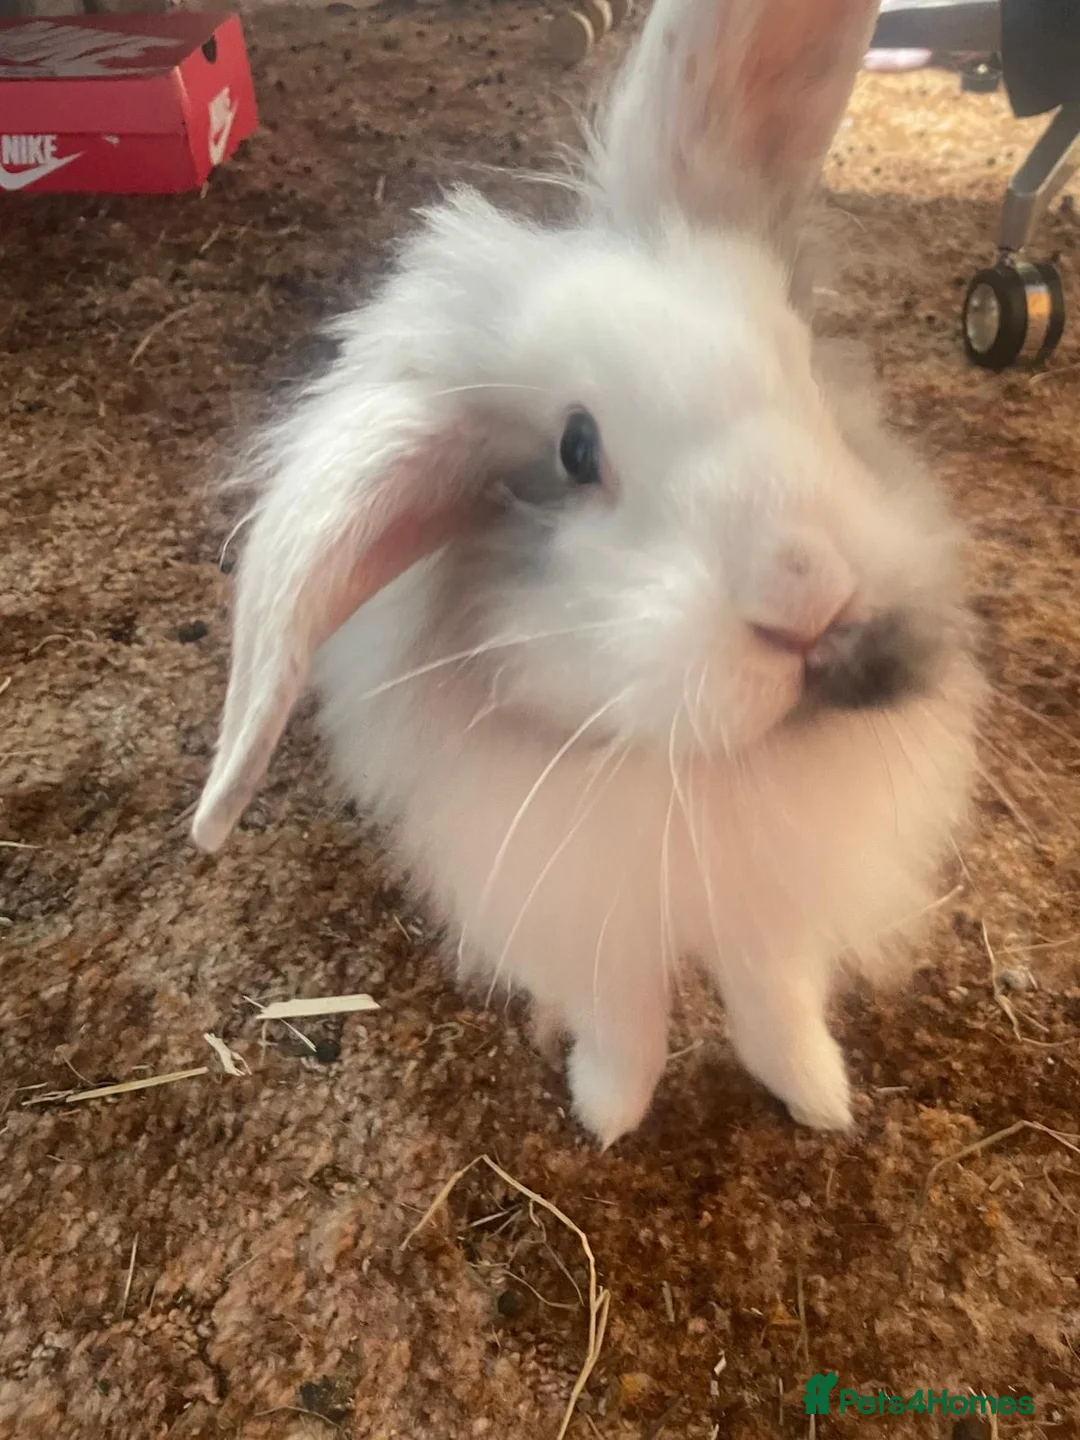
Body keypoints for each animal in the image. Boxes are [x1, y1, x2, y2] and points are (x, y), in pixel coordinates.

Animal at [191, 0, 982, 1149]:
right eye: (575, 450)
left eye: (799, 360)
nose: (805, 594)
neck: (697, 767)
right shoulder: (586, 915)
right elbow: (626, 1022)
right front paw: (609, 1116)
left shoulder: (776, 909)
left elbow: (777, 1001)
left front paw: (818, 1100)